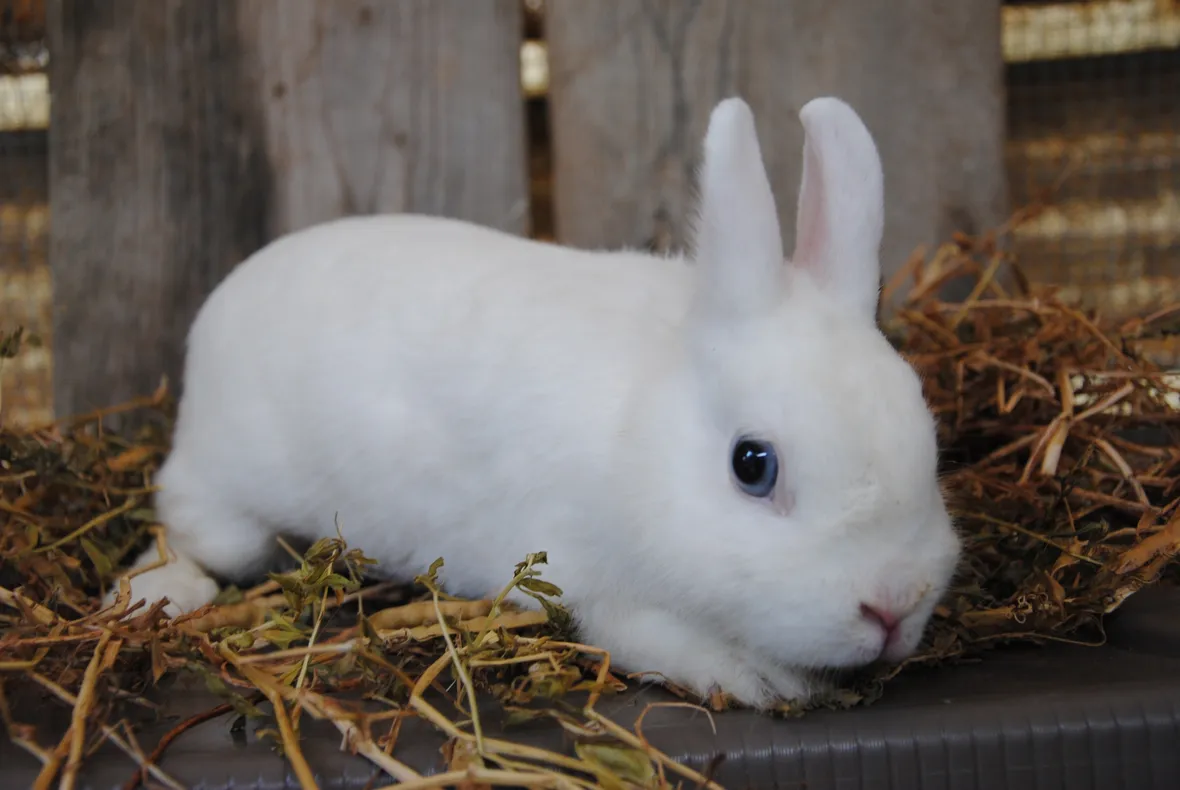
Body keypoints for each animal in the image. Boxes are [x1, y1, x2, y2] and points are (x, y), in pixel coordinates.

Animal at [106, 95, 962, 710]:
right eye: (752, 465)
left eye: (927, 435)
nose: (892, 606)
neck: (643, 433)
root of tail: (220, 306)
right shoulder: (593, 584)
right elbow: (650, 635)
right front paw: (755, 677)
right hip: (230, 498)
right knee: (184, 528)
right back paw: (158, 590)